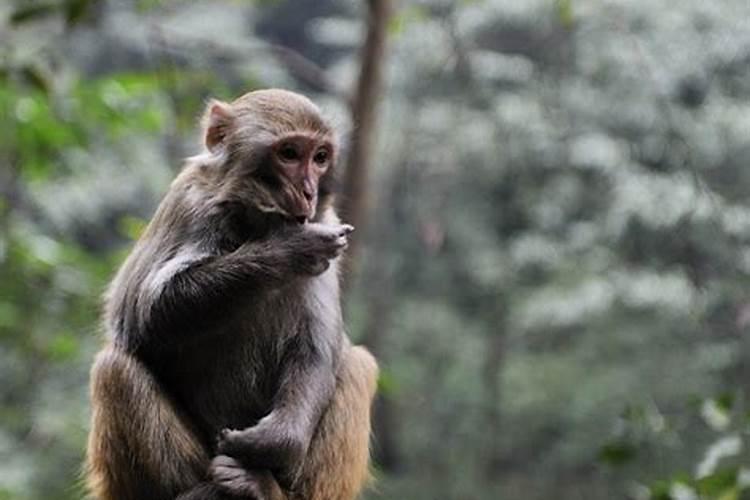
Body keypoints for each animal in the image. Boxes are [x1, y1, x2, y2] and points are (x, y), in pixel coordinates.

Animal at [87, 90, 378, 500]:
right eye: (289, 153)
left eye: (320, 157)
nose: (308, 191)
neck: (252, 221)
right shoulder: (187, 205)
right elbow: (140, 315)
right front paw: (286, 249)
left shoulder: (328, 222)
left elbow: (316, 348)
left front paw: (277, 440)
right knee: (114, 370)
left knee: (358, 365)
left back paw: (260, 487)